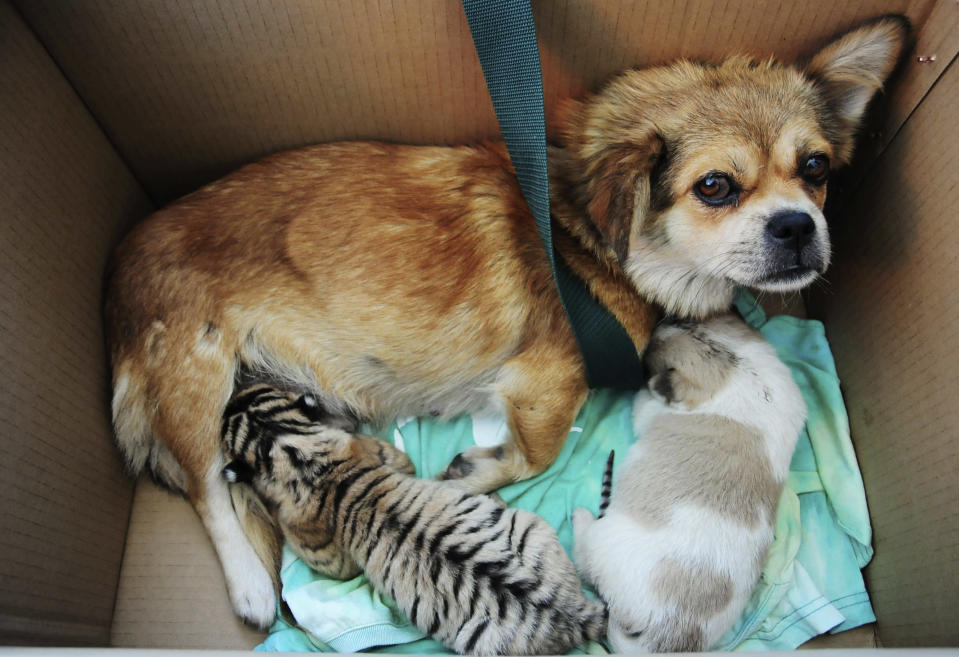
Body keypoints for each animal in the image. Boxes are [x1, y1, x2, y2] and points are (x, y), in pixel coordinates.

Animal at [572, 314, 808, 652]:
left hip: (601, 542)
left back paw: (581, 518)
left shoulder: (653, 410)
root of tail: (667, 632)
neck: (735, 366)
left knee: (584, 555)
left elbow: (645, 403)